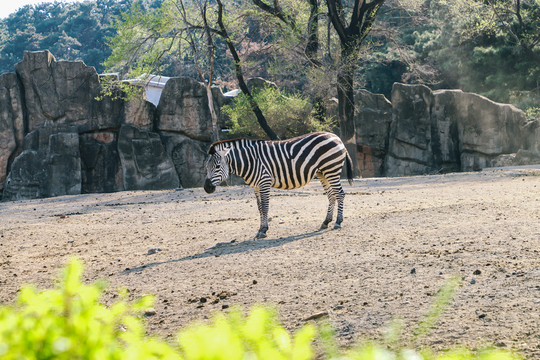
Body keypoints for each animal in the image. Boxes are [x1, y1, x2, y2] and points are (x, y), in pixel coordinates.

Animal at [204, 131, 354, 238]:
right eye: (206, 166)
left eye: (217, 166)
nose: (206, 188)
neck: (250, 160)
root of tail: (336, 136)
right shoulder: (256, 186)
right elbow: (259, 208)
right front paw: (260, 228)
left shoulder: (264, 182)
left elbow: (265, 208)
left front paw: (264, 230)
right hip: (323, 173)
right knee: (331, 196)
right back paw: (326, 222)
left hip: (331, 170)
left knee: (340, 194)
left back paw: (338, 222)